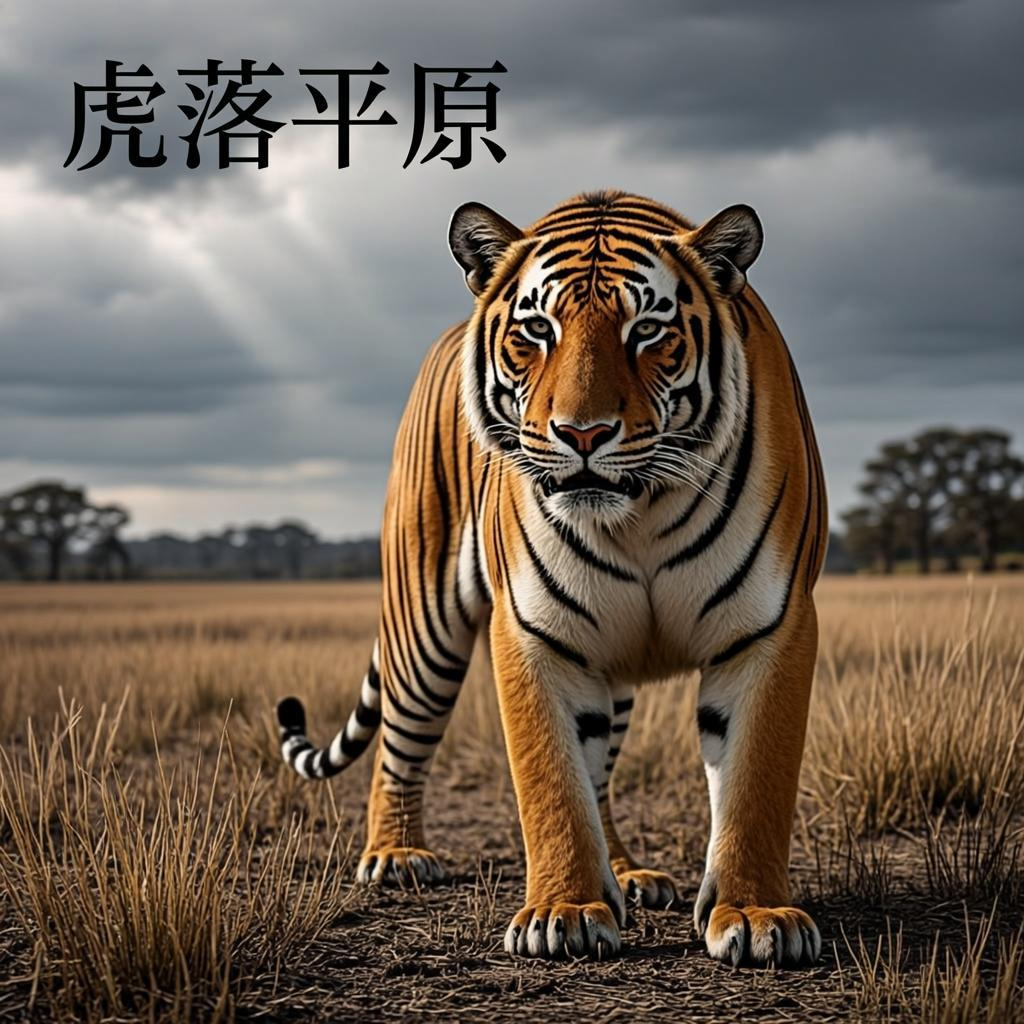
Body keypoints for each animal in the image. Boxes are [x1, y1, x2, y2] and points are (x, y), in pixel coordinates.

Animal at [276, 190, 828, 967]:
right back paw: (397, 856)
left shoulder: (770, 627)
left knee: (601, 774)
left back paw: (628, 872)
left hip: (608, 667)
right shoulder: (535, 633)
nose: (583, 433)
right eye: (537, 330)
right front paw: (564, 912)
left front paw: (755, 916)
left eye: (647, 330)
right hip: (424, 622)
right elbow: (552, 784)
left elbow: (755, 785)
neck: (640, 512)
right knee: (399, 744)